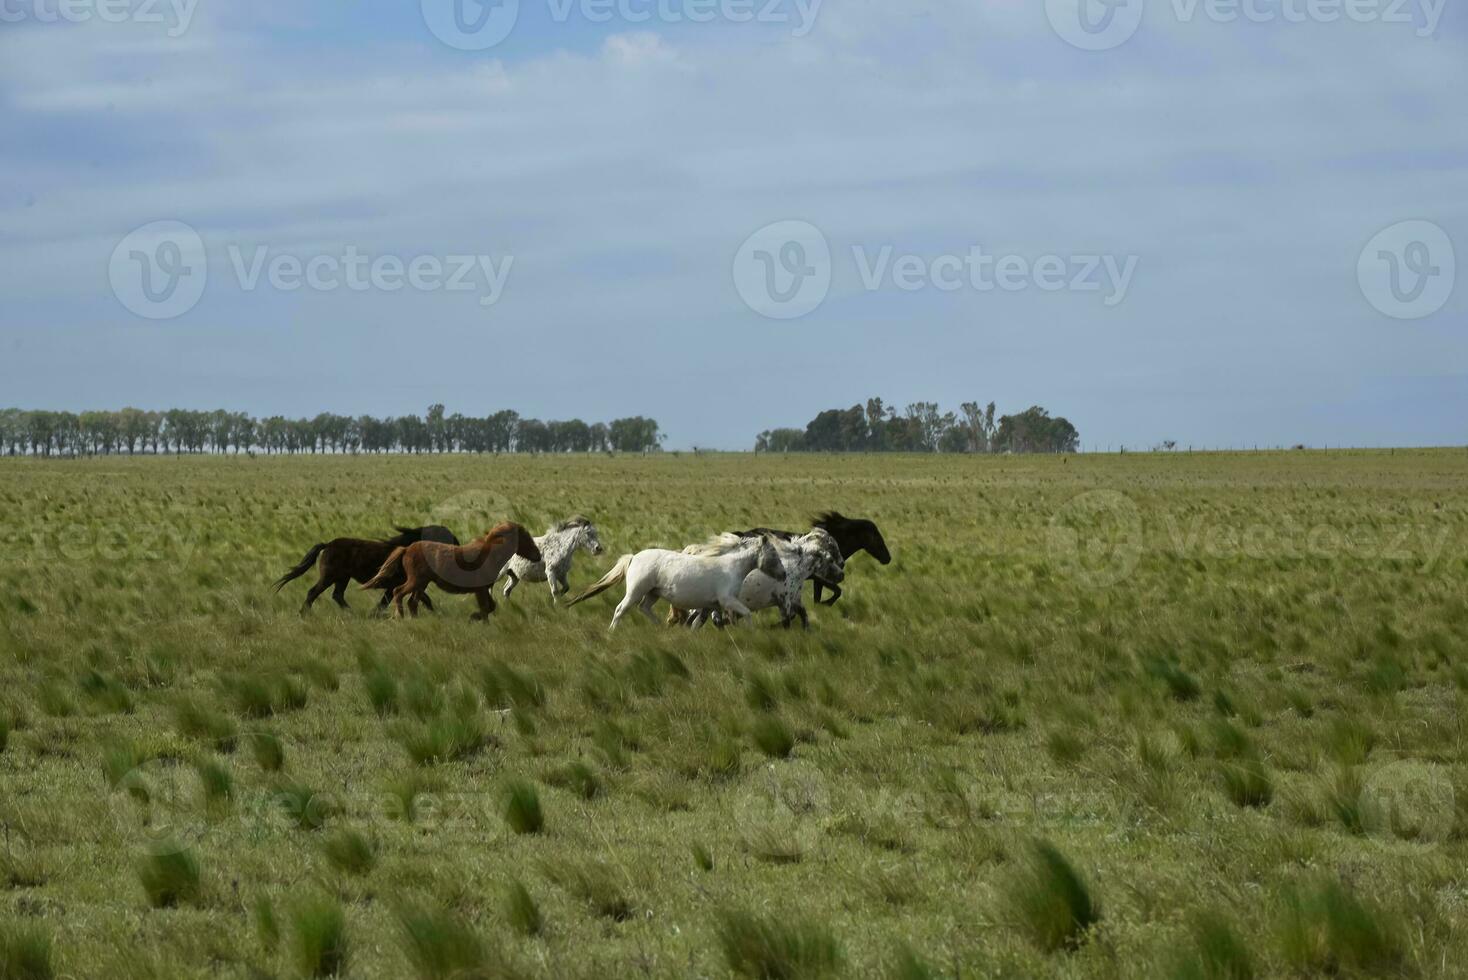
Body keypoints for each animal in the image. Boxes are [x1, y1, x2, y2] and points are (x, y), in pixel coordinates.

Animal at [274, 528, 458, 613]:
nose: (457, 547)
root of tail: (328, 545)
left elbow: (423, 599)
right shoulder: (395, 585)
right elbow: (386, 602)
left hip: (342, 578)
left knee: (337, 595)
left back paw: (351, 613)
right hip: (329, 577)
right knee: (313, 592)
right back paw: (304, 614)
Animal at [361, 519, 546, 619]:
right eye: (525, 537)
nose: (538, 555)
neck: (489, 555)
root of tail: (407, 549)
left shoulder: (483, 589)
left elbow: (490, 607)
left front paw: (474, 617)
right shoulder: (480, 590)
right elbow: (485, 609)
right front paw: (475, 618)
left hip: (422, 584)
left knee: (412, 602)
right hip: (416, 581)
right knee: (398, 593)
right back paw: (401, 617)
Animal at [563, 531, 792, 630]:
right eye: (773, 553)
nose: (784, 574)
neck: (731, 568)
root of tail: (634, 557)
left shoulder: (712, 605)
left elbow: (699, 622)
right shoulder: (727, 600)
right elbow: (746, 613)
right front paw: (751, 632)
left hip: (653, 594)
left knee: (644, 608)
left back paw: (660, 628)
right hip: (636, 591)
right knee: (621, 609)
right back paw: (612, 632)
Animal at [681, 528, 845, 627]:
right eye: (830, 554)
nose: (842, 571)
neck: (794, 568)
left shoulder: (795, 602)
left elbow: (803, 618)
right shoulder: (784, 602)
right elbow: (788, 622)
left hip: (707, 606)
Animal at [734, 513, 892, 604]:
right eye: (876, 537)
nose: (888, 558)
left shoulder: (818, 581)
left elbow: (820, 597)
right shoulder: (822, 578)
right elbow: (837, 592)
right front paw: (826, 604)